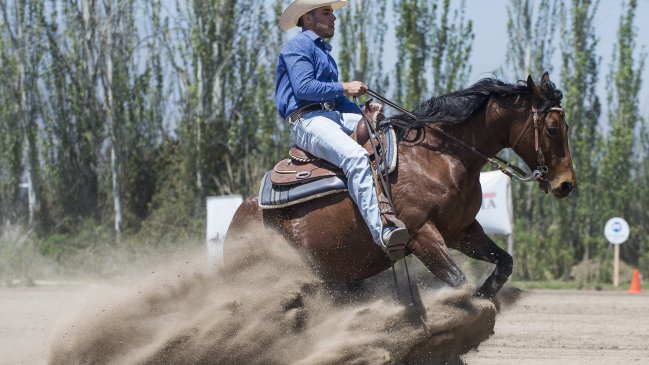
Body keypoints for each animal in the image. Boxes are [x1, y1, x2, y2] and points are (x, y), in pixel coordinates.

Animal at [225, 73, 576, 298]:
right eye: (552, 127)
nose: (566, 185)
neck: (441, 157)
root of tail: (243, 212)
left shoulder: (462, 231)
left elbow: (504, 262)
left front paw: (484, 295)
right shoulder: (421, 234)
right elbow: (457, 279)